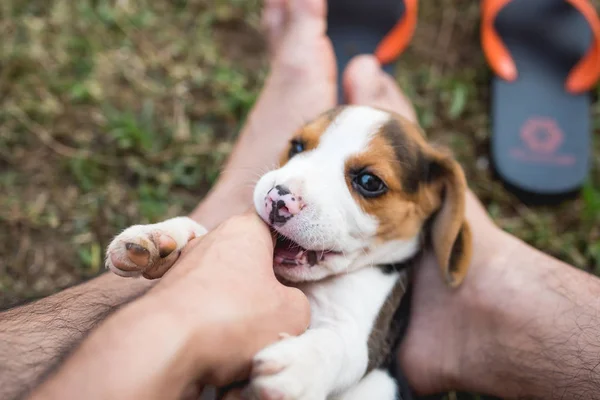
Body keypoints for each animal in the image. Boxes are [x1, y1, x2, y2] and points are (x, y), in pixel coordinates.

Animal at [105, 104, 472, 398]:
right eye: (297, 146)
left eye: (369, 182)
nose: (277, 197)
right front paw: (164, 236)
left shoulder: (366, 340)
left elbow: (338, 344)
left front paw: (298, 366)